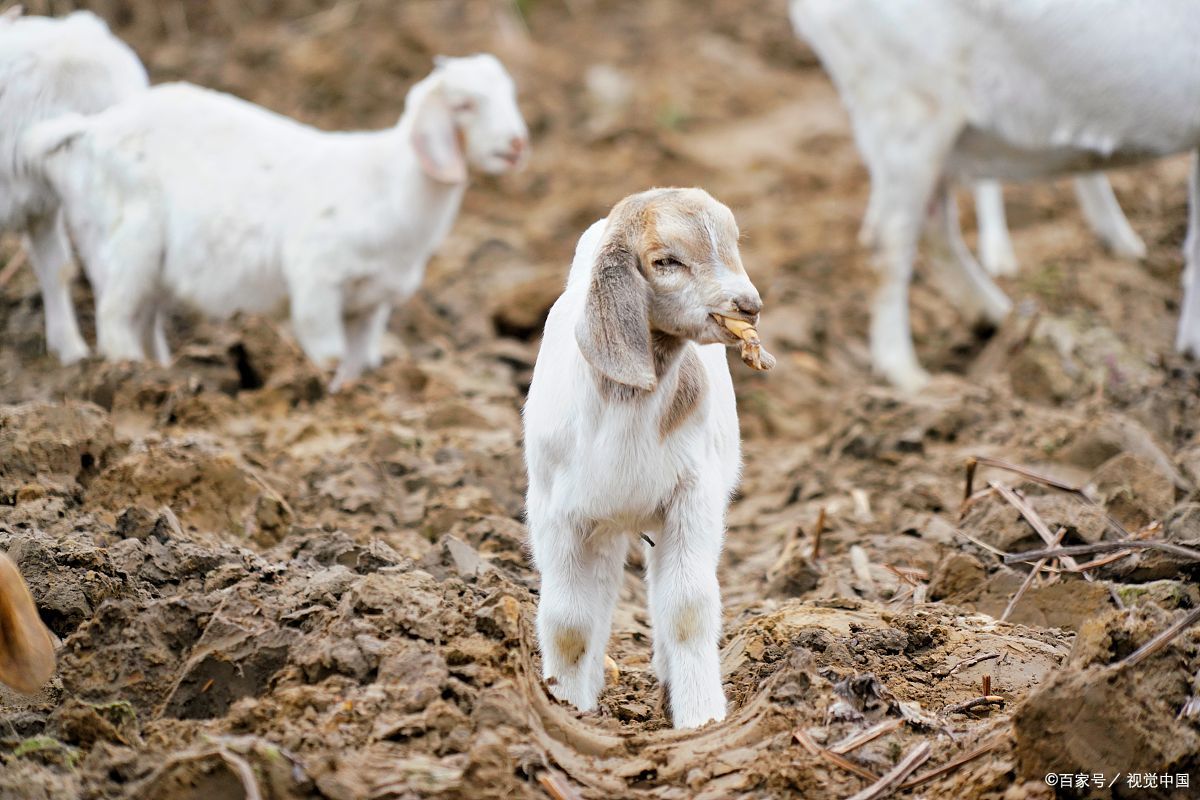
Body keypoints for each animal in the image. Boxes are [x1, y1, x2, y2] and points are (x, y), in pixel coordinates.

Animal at [27, 54, 525, 386]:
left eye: (510, 95)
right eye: (463, 105)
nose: (517, 144)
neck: (387, 188)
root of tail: (92, 126)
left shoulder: (372, 304)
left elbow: (356, 364)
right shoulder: (317, 283)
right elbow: (328, 355)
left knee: (142, 318)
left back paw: (161, 375)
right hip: (130, 237)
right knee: (114, 316)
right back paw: (130, 376)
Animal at [528, 189, 772, 734]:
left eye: (733, 244)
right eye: (665, 261)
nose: (748, 305)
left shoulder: (693, 497)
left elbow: (687, 609)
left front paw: (702, 719)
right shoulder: (558, 512)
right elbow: (568, 621)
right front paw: (567, 708)